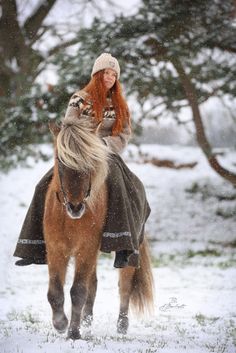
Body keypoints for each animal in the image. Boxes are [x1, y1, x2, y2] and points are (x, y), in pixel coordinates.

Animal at [43, 117, 155, 338]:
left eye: (90, 163)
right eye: (61, 160)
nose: (75, 207)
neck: (69, 219)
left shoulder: (86, 249)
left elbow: (78, 291)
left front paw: (73, 333)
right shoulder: (56, 249)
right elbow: (55, 292)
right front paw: (60, 323)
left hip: (128, 249)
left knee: (125, 285)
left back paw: (121, 326)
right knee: (93, 285)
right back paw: (87, 323)